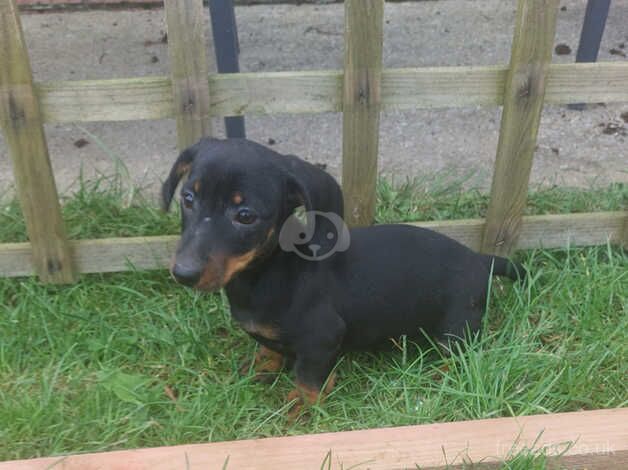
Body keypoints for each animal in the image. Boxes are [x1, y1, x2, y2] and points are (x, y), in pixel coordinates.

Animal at [161, 138, 520, 414]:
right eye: (188, 198)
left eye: (245, 216)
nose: (183, 273)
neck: (272, 271)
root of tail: (479, 260)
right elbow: (269, 350)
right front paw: (262, 367)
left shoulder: (322, 338)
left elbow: (307, 380)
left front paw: (301, 410)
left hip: (457, 327)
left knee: (463, 356)